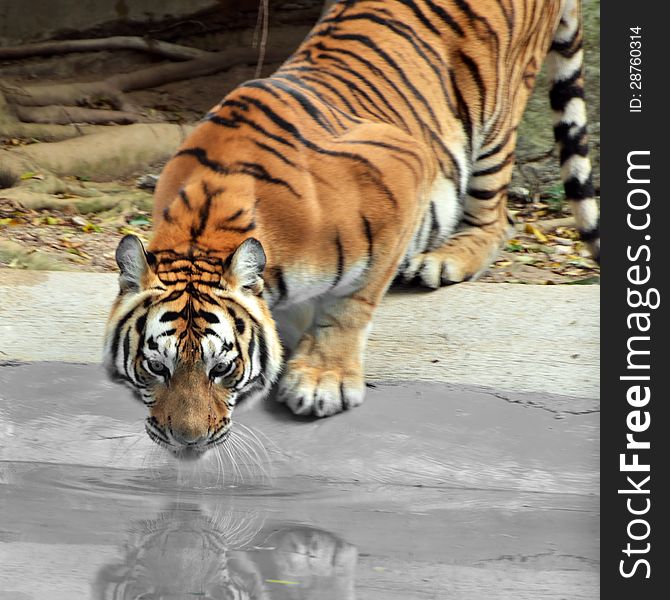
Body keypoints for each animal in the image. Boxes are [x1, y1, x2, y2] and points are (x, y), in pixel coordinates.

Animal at [103, 0, 600, 454]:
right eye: (156, 367)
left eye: (220, 369)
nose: (186, 442)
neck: (202, 227)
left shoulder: (403, 168)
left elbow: (350, 302)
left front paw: (321, 378)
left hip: (497, 111)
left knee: (499, 216)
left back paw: (442, 260)